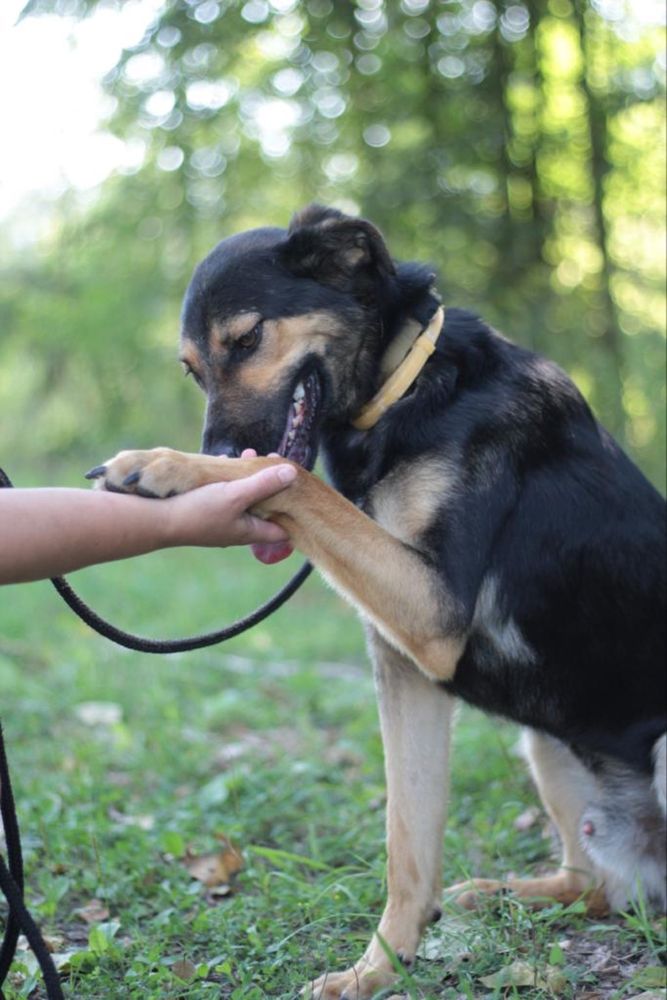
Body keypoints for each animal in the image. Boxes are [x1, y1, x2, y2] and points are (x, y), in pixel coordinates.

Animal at [90, 205, 667, 1000]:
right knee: (596, 885)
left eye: (246, 340)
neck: (410, 387)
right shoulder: (403, 658)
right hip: (547, 739)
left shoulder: (432, 609)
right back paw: (499, 893)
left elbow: (292, 478)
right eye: (190, 368)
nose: (222, 447)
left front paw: (172, 465)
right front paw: (379, 968)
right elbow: (407, 842)